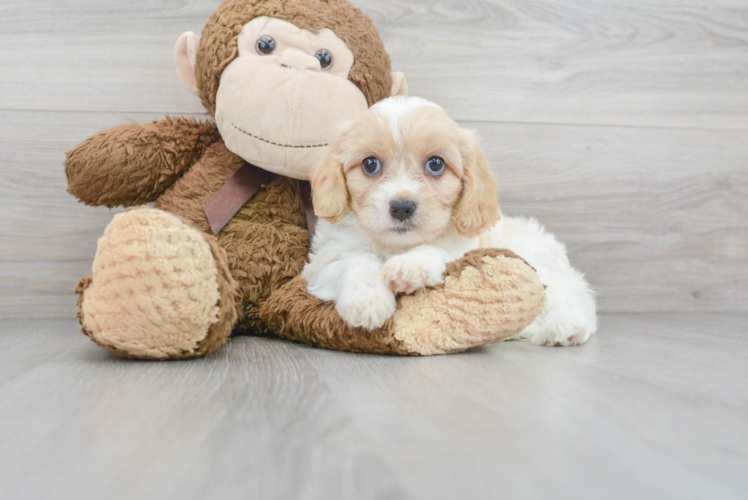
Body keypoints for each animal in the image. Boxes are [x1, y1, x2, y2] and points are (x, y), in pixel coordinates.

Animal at [300, 97, 600, 348]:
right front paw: (367, 300)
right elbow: (358, 260)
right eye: (370, 164)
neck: (396, 245)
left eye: (436, 164)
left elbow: (438, 251)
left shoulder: (462, 249)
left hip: (540, 263)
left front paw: (411, 266)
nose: (402, 206)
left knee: (573, 295)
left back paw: (564, 327)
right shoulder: (323, 262)